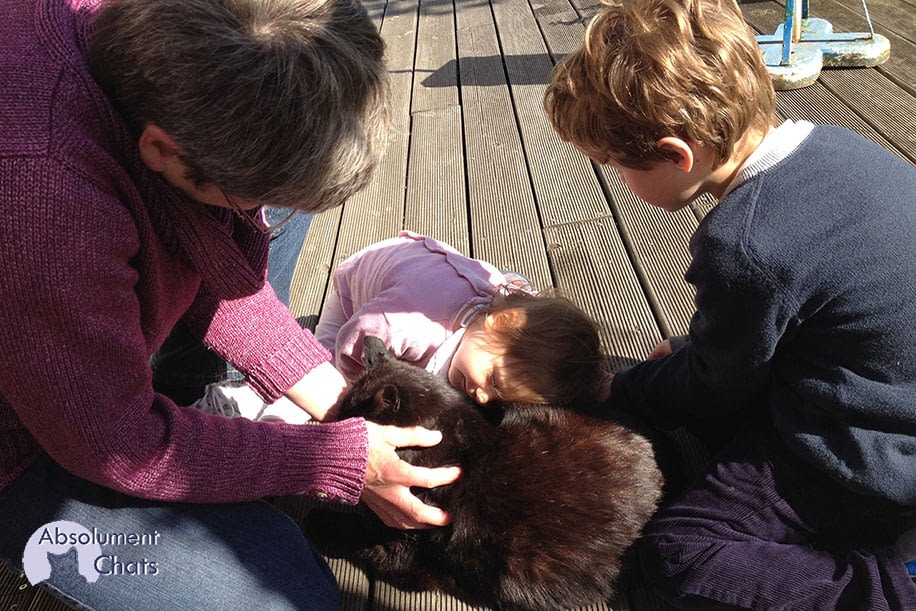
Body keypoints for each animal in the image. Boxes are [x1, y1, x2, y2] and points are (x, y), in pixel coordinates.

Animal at [314, 338, 660, 608]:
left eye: (349, 416)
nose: (334, 429)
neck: (454, 444)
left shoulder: (409, 552)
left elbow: (360, 537)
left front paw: (323, 520)